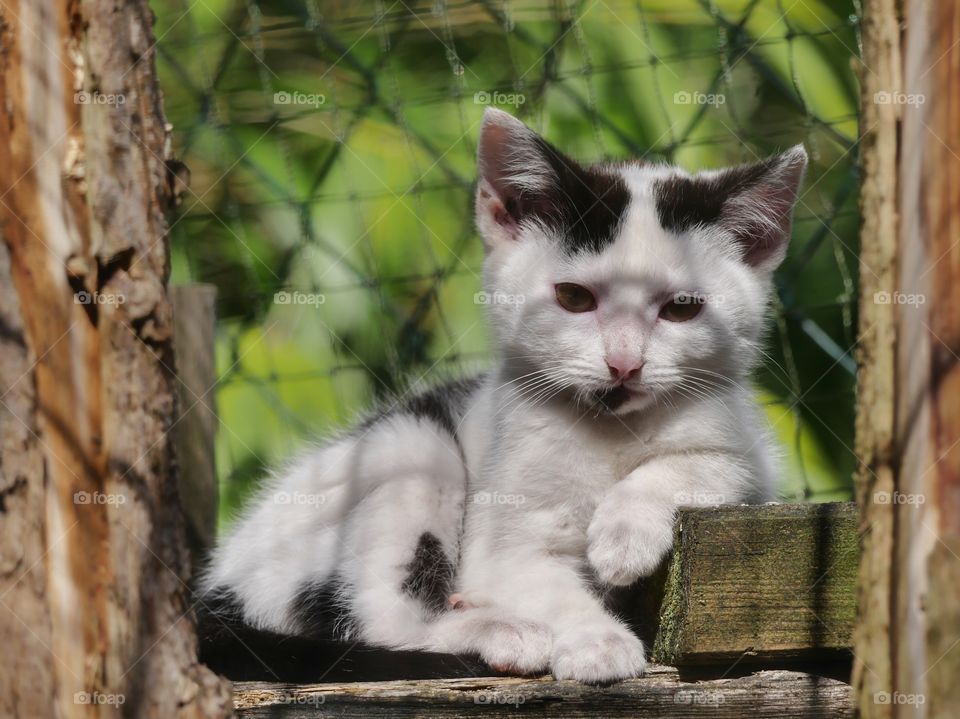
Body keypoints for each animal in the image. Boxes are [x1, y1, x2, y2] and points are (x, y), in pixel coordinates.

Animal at [199, 109, 808, 684]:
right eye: (573, 297)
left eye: (681, 308)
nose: (624, 364)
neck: (611, 430)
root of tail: (217, 583)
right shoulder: (501, 540)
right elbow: (535, 578)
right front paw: (596, 641)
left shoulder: (748, 453)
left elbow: (706, 464)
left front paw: (623, 535)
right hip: (407, 446)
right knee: (384, 622)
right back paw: (501, 631)